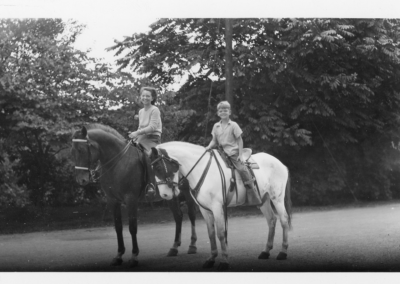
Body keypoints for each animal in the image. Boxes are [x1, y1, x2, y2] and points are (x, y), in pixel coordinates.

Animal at [71, 124, 198, 268]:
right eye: (72, 152)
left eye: (81, 150)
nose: (81, 180)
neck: (118, 162)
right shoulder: (113, 200)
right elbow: (118, 227)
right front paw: (119, 255)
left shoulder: (130, 199)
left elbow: (132, 227)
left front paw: (134, 256)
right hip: (170, 195)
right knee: (178, 216)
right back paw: (174, 247)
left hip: (187, 191)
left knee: (191, 214)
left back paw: (192, 245)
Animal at [149, 142, 290, 270]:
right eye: (153, 168)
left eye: (158, 167)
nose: (165, 195)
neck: (201, 168)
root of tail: (280, 164)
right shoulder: (205, 210)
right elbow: (211, 233)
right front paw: (211, 259)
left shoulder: (217, 207)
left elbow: (221, 233)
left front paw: (224, 262)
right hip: (263, 200)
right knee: (271, 220)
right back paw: (265, 252)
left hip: (277, 198)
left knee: (284, 220)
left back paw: (283, 252)